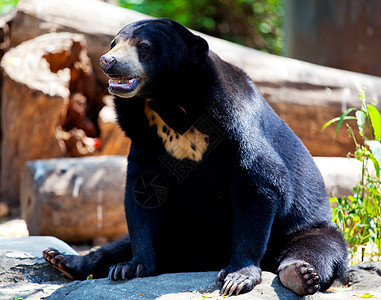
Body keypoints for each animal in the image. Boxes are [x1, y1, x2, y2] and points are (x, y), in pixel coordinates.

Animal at [42, 19, 348, 298]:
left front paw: (237, 278)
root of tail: (197, 258)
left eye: (143, 47)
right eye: (113, 44)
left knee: (316, 247)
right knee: (118, 245)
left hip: (307, 226)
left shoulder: (232, 118)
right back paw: (63, 259)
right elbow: (144, 194)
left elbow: (260, 178)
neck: (169, 100)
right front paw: (131, 267)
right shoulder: (144, 137)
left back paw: (299, 274)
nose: (108, 61)